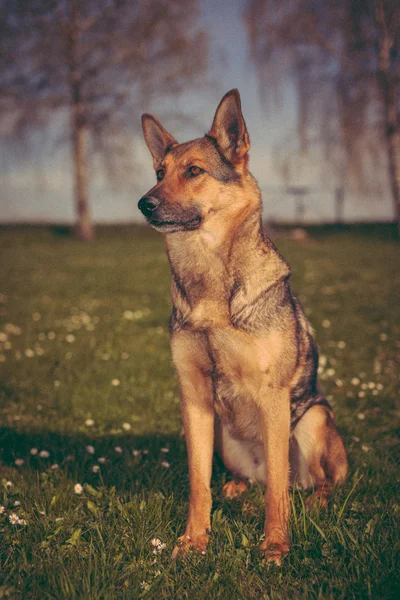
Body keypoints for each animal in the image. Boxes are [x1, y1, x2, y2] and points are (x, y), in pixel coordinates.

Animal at [139, 89, 348, 564]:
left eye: (193, 171)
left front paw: (275, 546)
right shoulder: (194, 394)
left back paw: (315, 500)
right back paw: (234, 488)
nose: (144, 203)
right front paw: (194, 540)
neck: (209, 279)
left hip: (311, 421)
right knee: (253, 479)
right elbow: (198, 483)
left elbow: (276, 494)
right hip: (221, 432)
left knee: (305, 482)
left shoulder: (272, 394)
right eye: (159, 173)